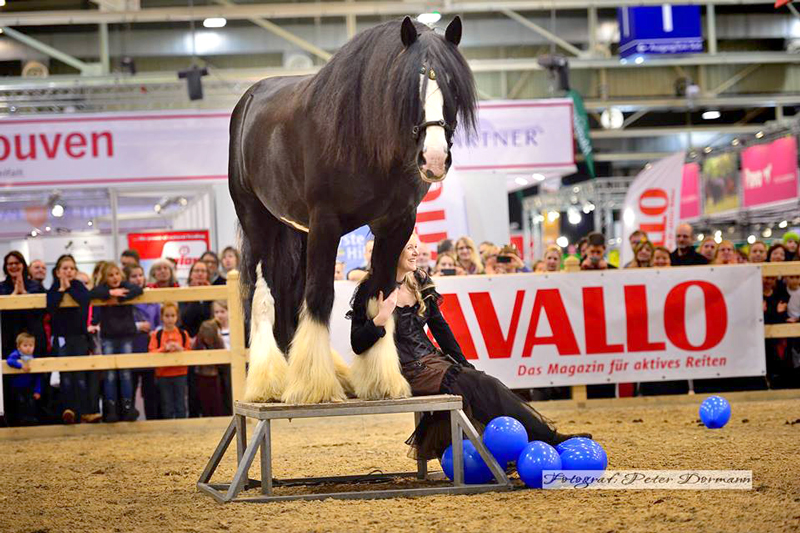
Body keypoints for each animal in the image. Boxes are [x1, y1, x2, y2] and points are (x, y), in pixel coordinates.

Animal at [231, 16, 478, 404]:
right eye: (409, 87)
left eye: (453, 84)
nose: (435, 159)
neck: (363, 138)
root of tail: (250, 100)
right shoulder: (325, 222)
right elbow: (320, 297)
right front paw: (313, 386)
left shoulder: (396, 224)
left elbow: (380, 293)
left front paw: (381, 380)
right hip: (258, 222)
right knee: (264, 296)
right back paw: (269, 381)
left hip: (297, 232)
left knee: (289, 296)